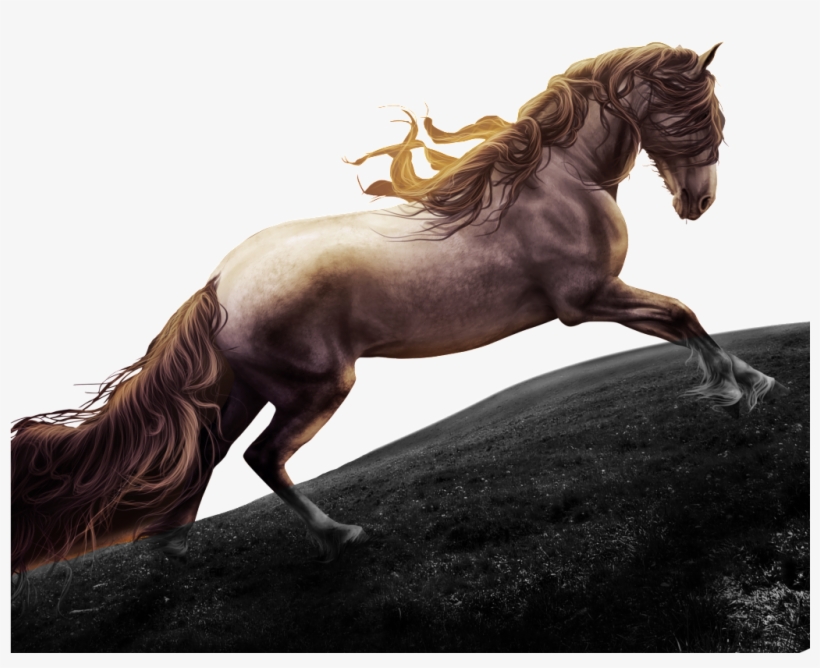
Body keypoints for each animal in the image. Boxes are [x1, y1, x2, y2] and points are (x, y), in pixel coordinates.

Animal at [11, 42, 787, 582]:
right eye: (694, 113)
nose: (697, 201)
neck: (557, 182)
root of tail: (219, 284)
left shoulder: (599, 297)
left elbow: (683, 318)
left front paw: (750, 383)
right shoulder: (588, 299)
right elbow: (682, 314)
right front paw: (739, 390)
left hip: (247, 391)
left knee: (211, 451)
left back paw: (173, 543)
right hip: (316, 389)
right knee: (262, 458)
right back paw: (339, 537)